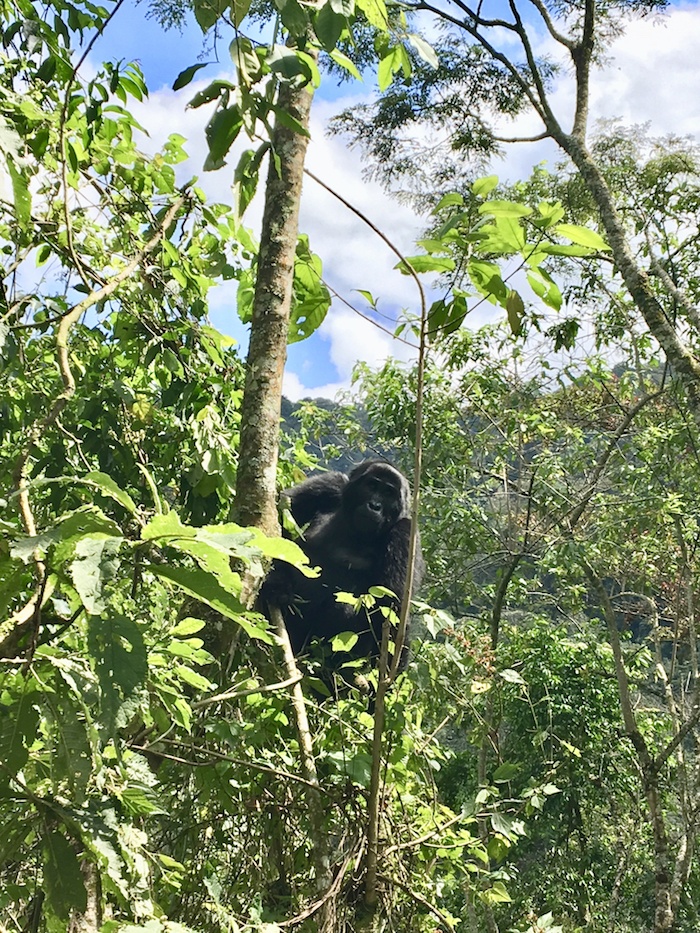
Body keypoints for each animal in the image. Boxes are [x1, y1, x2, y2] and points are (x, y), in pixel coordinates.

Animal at [262, 460, 424, 672]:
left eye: (389, 493)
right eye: (372, 486)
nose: (375, 505)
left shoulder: (405, 532)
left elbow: (393, 607)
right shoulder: (331, 484)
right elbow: (280, 517)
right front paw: (278, 582)